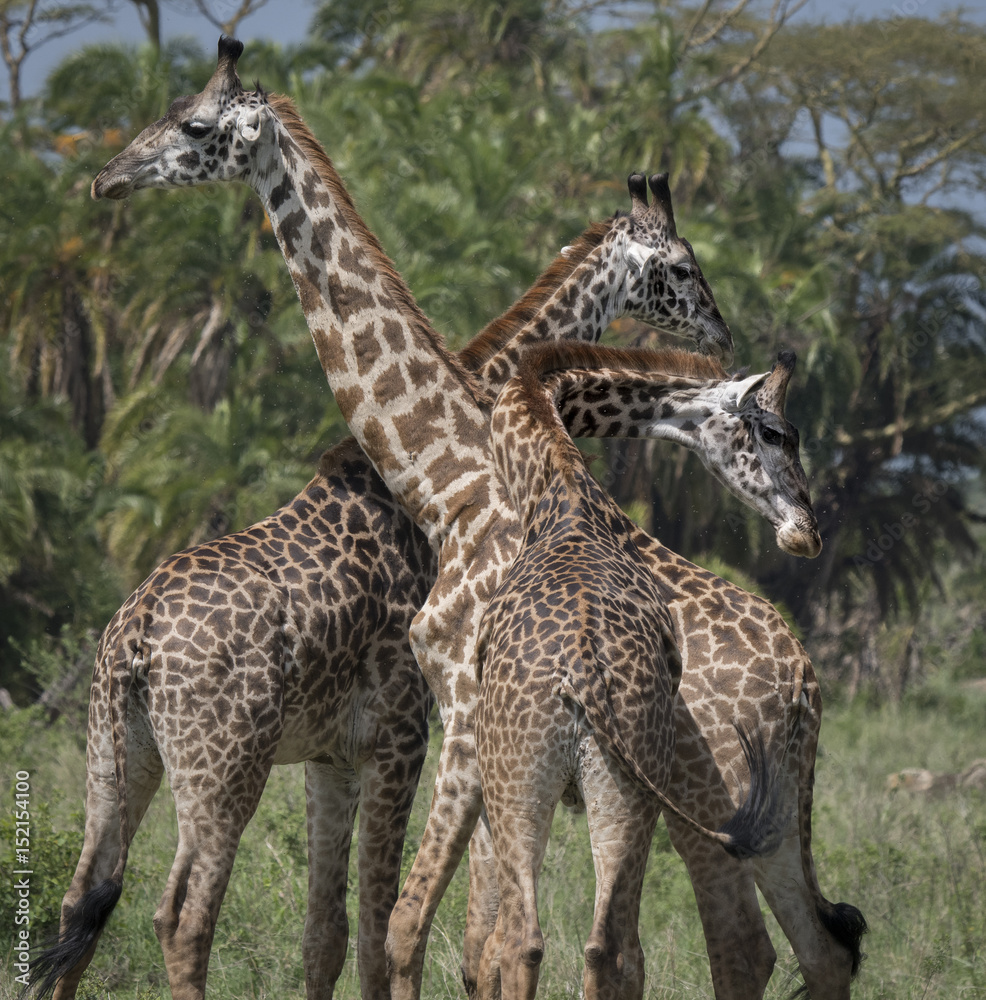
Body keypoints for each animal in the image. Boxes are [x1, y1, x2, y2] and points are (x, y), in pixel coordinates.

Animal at [474, 342, 822, 1000]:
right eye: (774, 432)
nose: (807, 533)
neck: (557, 488)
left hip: (533, 781)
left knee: (556, 941)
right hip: (605, 783)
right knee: (585, 945)